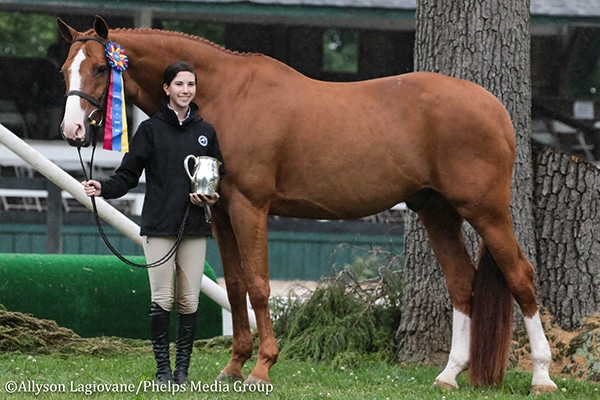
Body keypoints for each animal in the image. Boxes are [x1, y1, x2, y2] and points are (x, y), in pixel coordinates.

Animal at [57, 16, 556, 394]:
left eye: (100, 68)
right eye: (65, 69)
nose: (73, 131)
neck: (226, 95)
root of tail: (494, 107)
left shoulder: (251, 207)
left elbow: (259, 286)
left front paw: (262, 368)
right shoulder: (220, 212)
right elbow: (235, 286)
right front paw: (234, 367)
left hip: (487, 211)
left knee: (521, 278)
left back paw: (541, 377)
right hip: (438, 212)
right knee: (462, 285)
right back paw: (450, 375)